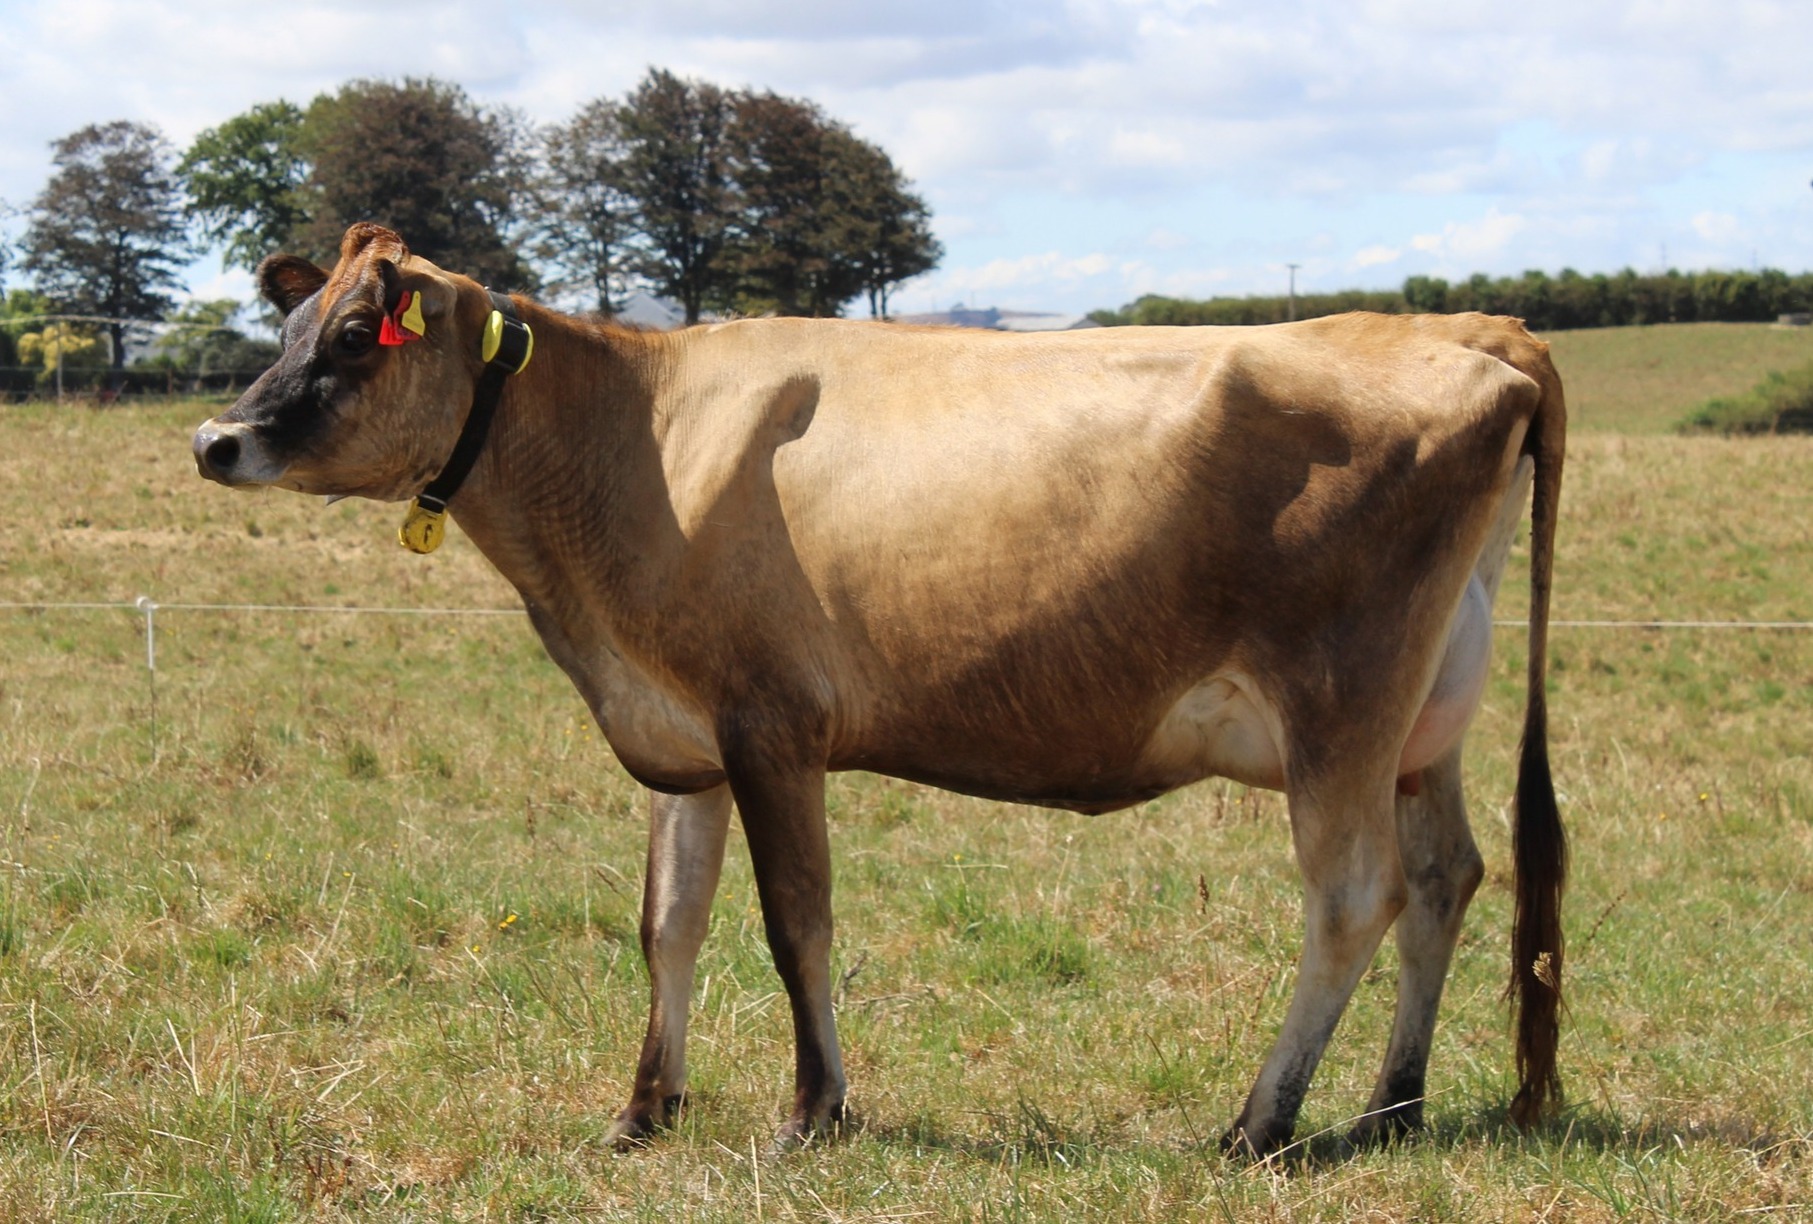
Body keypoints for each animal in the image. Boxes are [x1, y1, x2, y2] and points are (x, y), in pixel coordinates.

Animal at [192, 223, 1567, 1158]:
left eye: (357, 334)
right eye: (289, 327)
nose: (216, 438)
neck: (633, 438)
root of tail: (1477, 330)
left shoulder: (770, 725)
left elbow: (793, 922)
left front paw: (815, 1110)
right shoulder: (679, 729)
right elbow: (666, 923)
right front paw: (645, 1109)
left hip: (1339, 704)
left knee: (1354, 895)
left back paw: (1259, 1124)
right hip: (1422, 719)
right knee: (1447, 877)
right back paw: (1390, 1108)